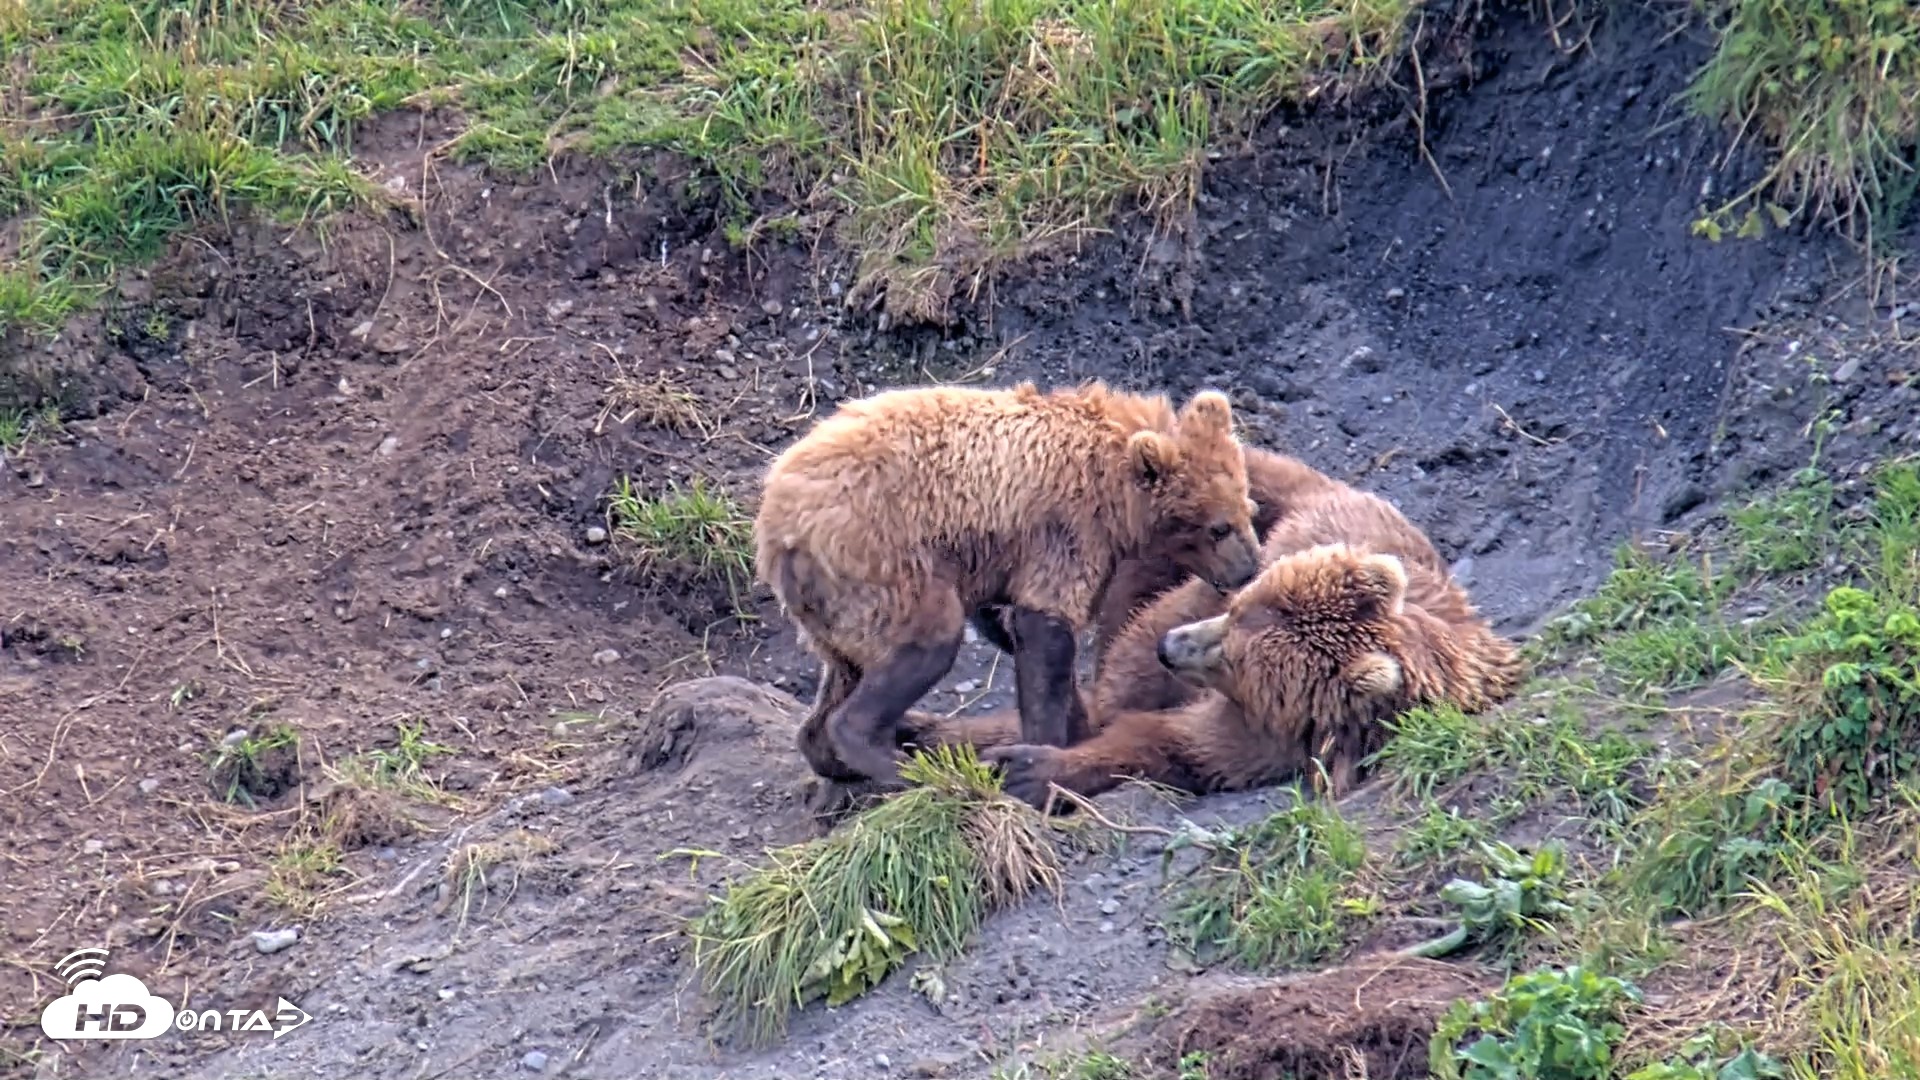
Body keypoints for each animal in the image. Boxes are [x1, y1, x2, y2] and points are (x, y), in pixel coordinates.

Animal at [755, 379, 1264, 789]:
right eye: (1218, 527)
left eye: (1249, 508)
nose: (1249, 569)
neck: (1116, 495)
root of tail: (777, 532)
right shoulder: (1063, 530)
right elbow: (1046, 634)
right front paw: (1045, 744)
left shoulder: (1002, 557)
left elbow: (1016, 629)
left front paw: (1075, 726)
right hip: (882, 564)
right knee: (926, 643)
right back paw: (896, 764)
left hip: (836, 606)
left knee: (844, 672)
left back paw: (831, 754)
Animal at [897, 461, 1521, 810]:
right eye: (1238, 613)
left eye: (1238, 661)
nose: (1171, 650)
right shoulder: (1240, 576)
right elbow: (1129, 675)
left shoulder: (1273, 737)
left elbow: (1177, 744)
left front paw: (1031, 767)